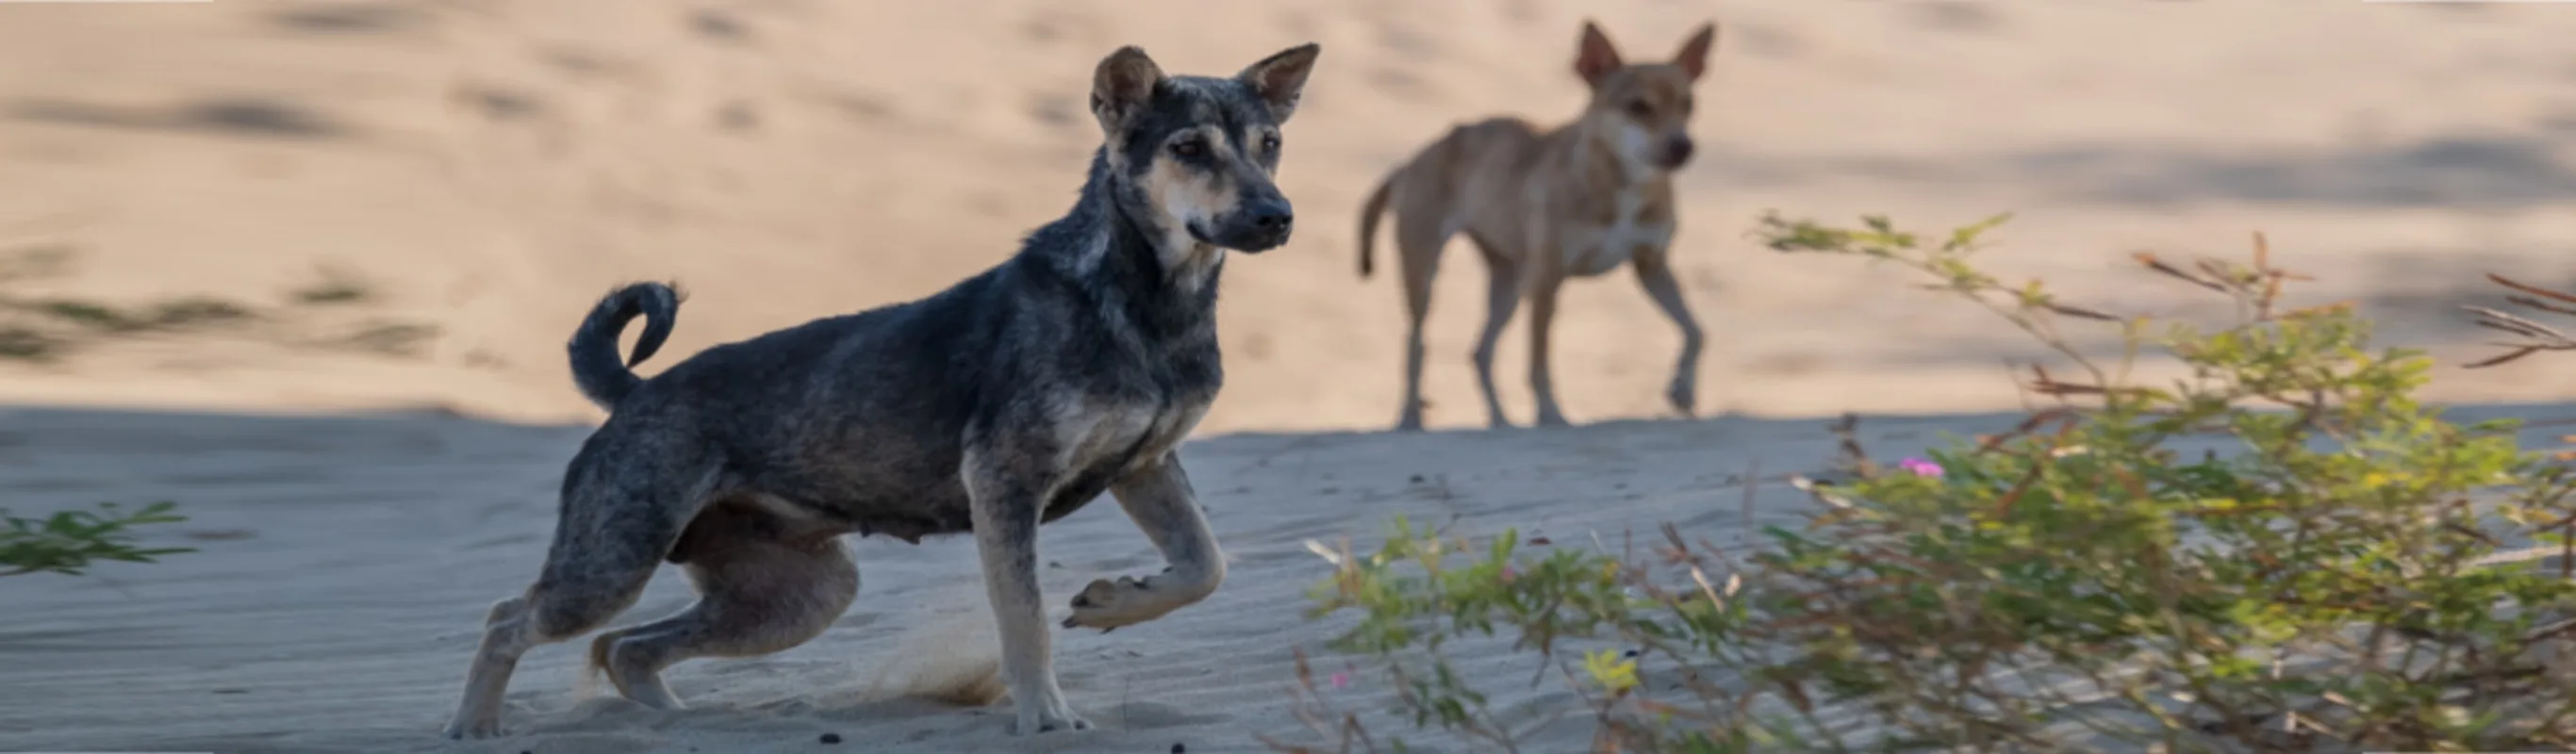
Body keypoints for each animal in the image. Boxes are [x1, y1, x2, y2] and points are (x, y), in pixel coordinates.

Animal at [442, 39, 1318, 735]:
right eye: (1189, 147)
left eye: (1271, 142)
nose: (1276, 217)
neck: (1145, 303)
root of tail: (632, 392)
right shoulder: (1005, 482)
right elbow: (1025, 621)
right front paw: (1045, 716)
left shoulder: (1144, 466)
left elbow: (1206, 565)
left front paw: (1117, 600)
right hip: (614, 560)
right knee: (509, 619)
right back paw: (475, 725)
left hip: (797, 596)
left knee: (624, 647)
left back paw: (668, 723)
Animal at [1360, 19, 1720, 429]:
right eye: (1638, 107)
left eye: (1688, 105)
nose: (1683, 146)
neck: (1621, 182)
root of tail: (1411, 162)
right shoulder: (1547, 280)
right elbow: (1539, 364)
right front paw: (1550, 414)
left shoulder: (1652, 266)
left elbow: (1696, 331)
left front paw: (1683, 388)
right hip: (1425, 273)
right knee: (1416, 343)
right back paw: (1409, 418)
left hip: (1509, 285)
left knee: (1479, 352)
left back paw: (1501, 422)